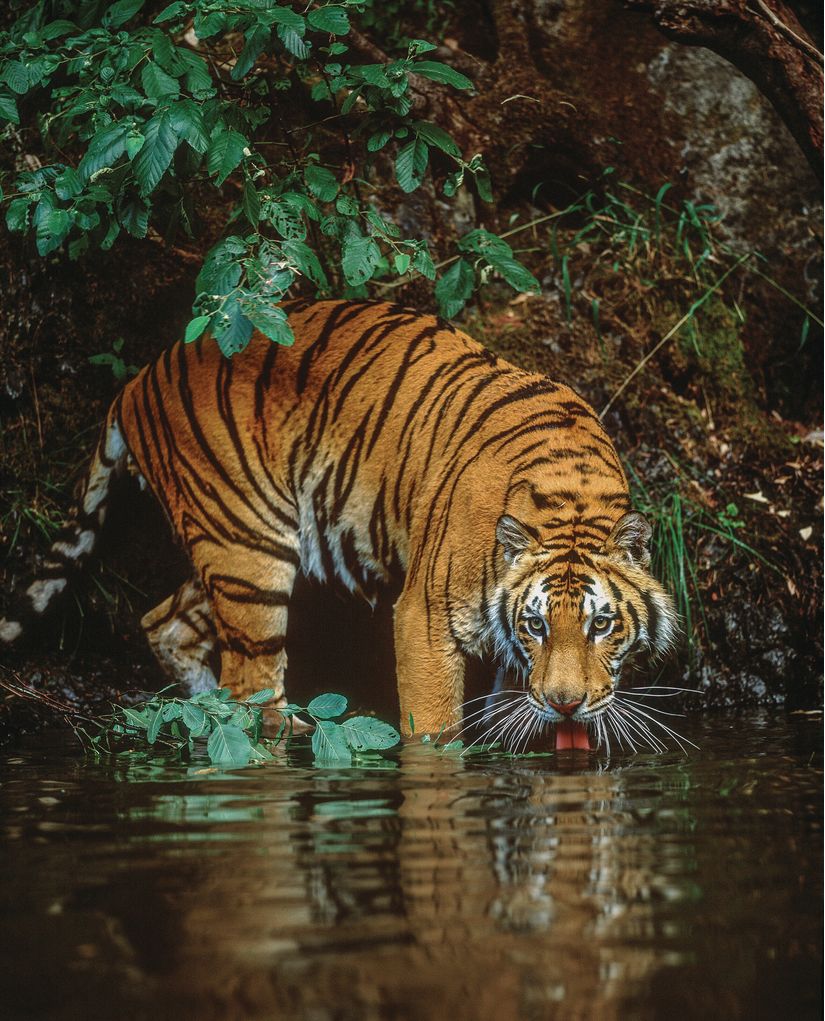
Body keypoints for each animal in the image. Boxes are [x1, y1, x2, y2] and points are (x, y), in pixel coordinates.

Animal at [0, 298, 677, 747]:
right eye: (535, 623)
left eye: (601, 625)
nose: (566, 705)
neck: (573, 498)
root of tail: (139, 379)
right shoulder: (425, 619)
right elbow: (434, 731)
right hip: (250, 554)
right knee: (251, 687)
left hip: (231, 542)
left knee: (164, 624)